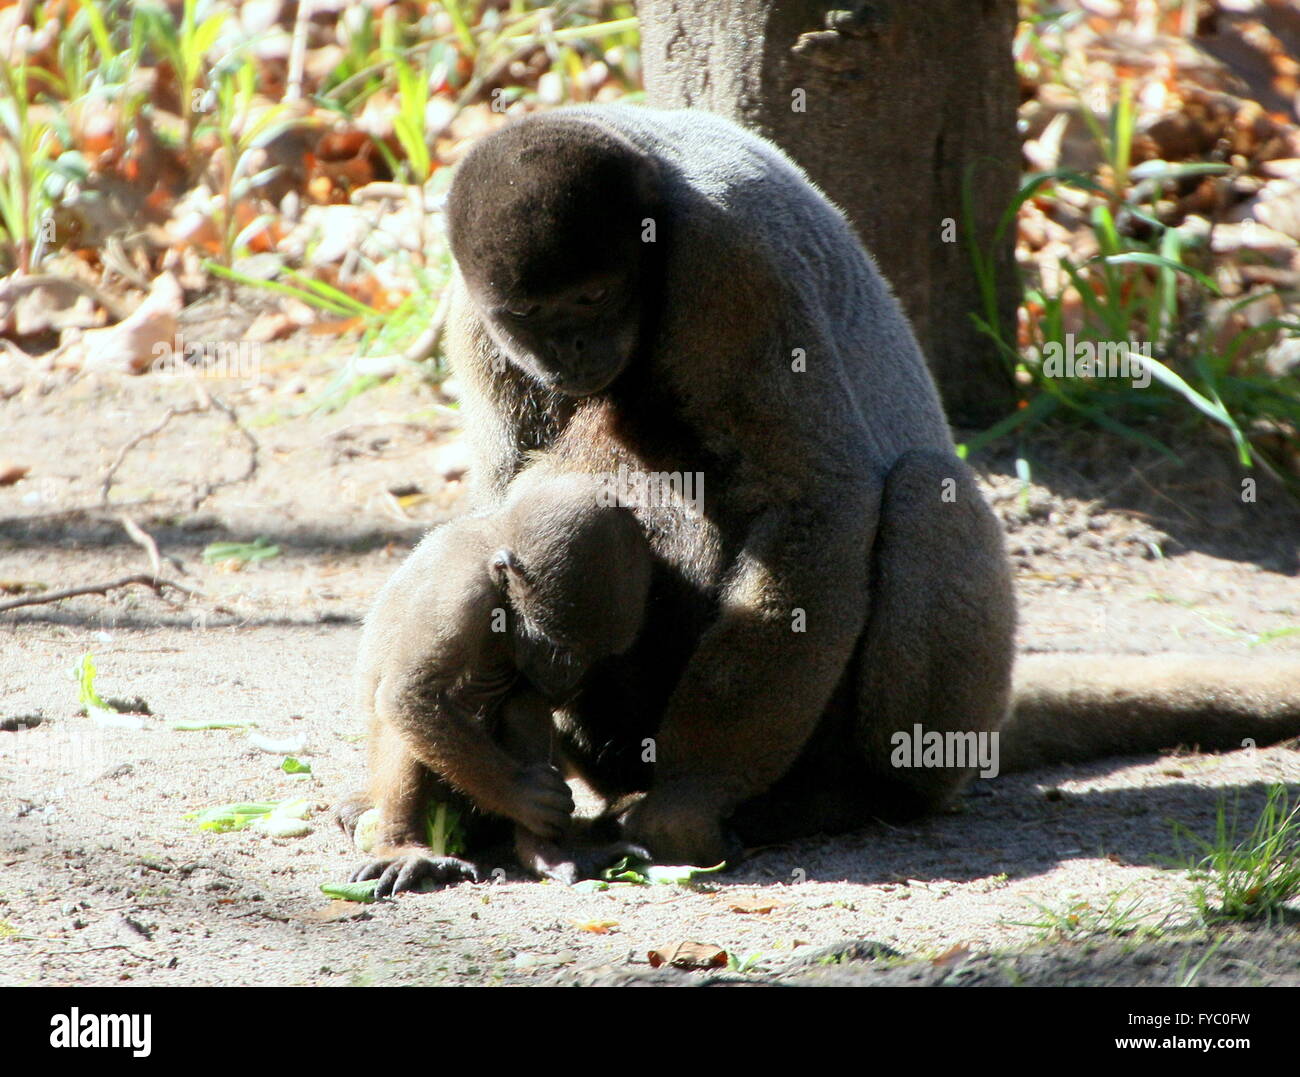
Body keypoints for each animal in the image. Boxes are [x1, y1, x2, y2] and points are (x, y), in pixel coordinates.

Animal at [341, 463, 656, 895]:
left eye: (595, 659)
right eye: (557, 649)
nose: (568, 681)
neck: (495, 546)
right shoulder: (462, 593)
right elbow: (410, 693)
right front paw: (521, 795)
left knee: (523, 697)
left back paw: (544, 852)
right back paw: (401, 848)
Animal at [439, 104, 1300, 866]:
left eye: (591, 297)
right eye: (531, 313)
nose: (570, 348)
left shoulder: (730, 267)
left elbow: (818, 496)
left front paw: (690, 793)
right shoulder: (472, 312)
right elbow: (507, 493)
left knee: (926, 491)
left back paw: (845, 796)